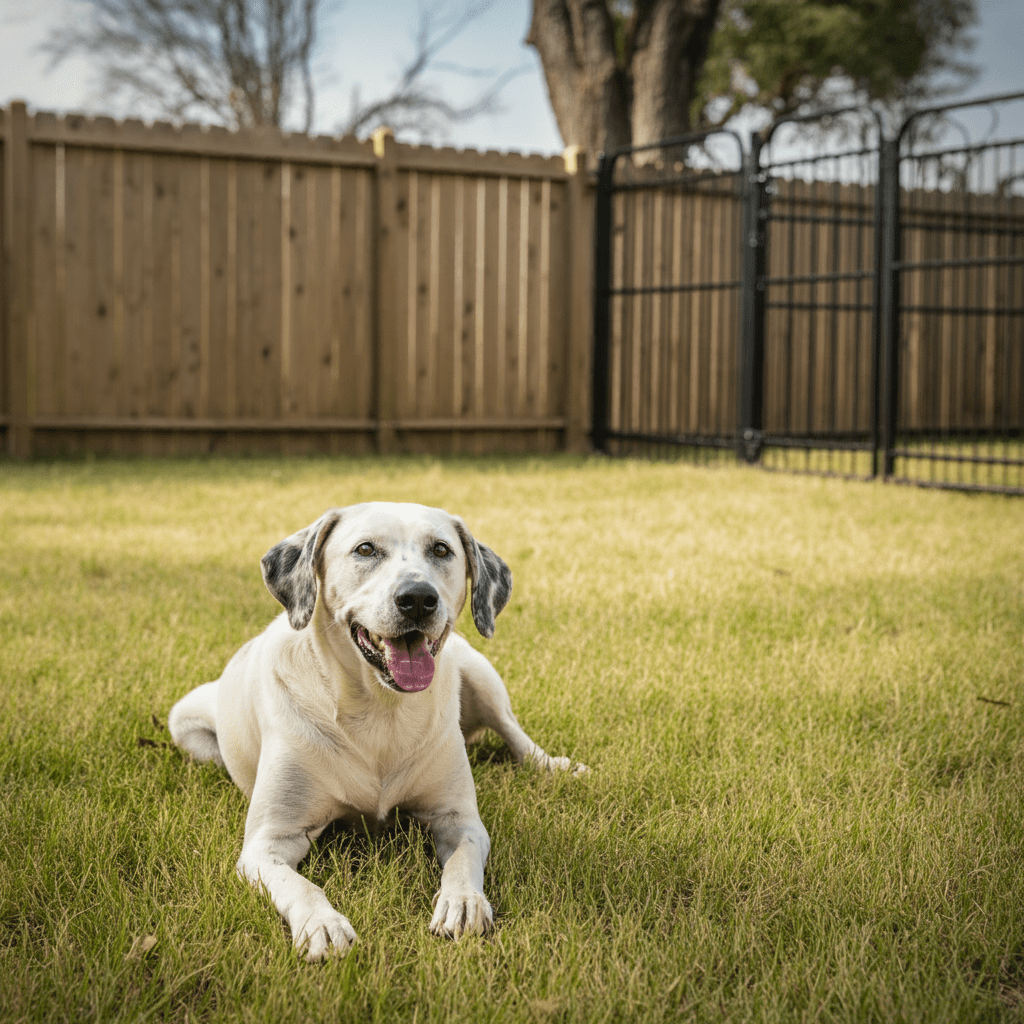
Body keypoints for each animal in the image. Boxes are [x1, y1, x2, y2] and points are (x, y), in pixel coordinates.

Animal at [168, 501, 585, 958]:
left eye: (441, 549)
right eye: (365, 549)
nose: (418, 598)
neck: (380, 711)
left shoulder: (459, 819)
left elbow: (463, 860)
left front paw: (463, 901)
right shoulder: (268, 843)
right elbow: (300, 885)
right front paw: (321, 923)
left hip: (480, 673)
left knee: (515, 733)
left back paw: (554, 766)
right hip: (184, 721)